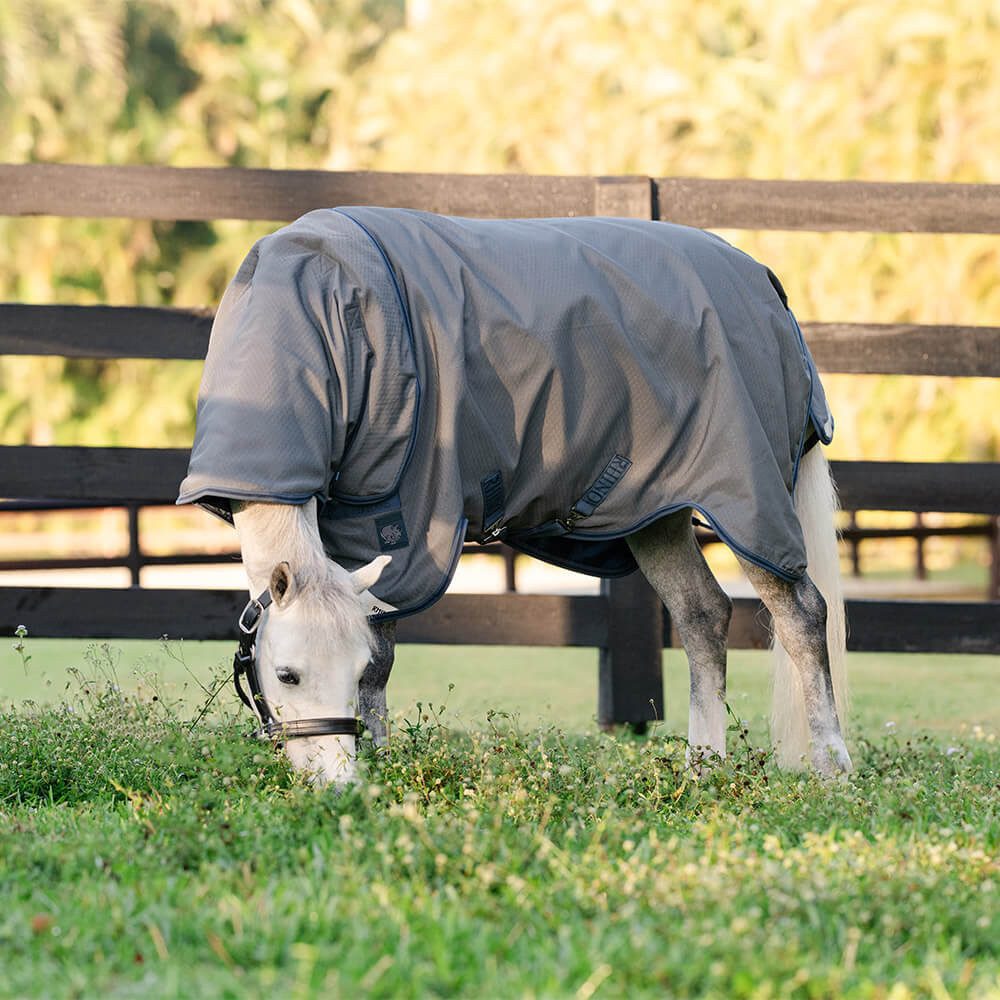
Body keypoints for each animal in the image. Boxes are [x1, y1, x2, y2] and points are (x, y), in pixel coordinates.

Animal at [179, 207, 851, 787]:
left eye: (342, 668)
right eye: (287, 674)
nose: (336, 784)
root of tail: (765, 284)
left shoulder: (398, 515)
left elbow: (384, 651)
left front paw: (383, 758)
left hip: (747, 496)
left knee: (801, 614)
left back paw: (831, 767)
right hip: (655, 509)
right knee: (702, 616)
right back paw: (702, 767)